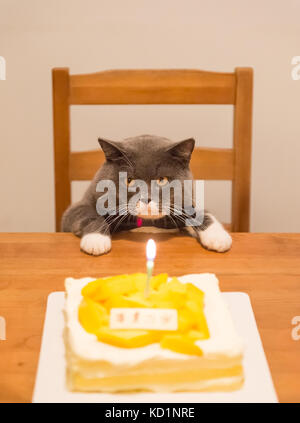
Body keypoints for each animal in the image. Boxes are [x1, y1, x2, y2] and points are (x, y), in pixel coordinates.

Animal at [61, 136, 232, 255]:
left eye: (162, 180)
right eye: (129, 180)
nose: (146, 198)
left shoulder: (185, 199)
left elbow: (201, 212)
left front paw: (218, 236)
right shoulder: (80, 205)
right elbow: (87, 214)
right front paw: (96, 240)